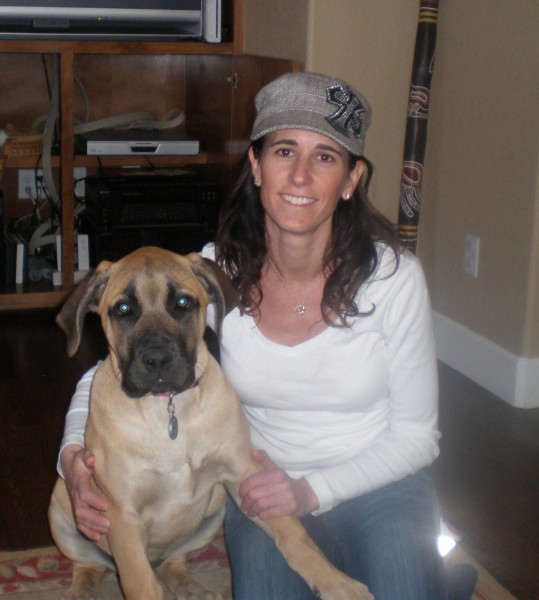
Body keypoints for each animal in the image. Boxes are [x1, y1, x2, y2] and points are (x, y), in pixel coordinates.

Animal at [48, 246, 374, 596]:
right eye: (123, 309)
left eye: (182, 303)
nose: (158, 360)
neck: (168, 409)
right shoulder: (121, 513)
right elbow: (141, 583)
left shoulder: (244, 473)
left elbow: (294, 535)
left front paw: (338, 584)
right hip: (62, 515)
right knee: (89, 565)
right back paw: (81, 590)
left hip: (214, 511)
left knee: (174, 562)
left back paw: (191, 587)